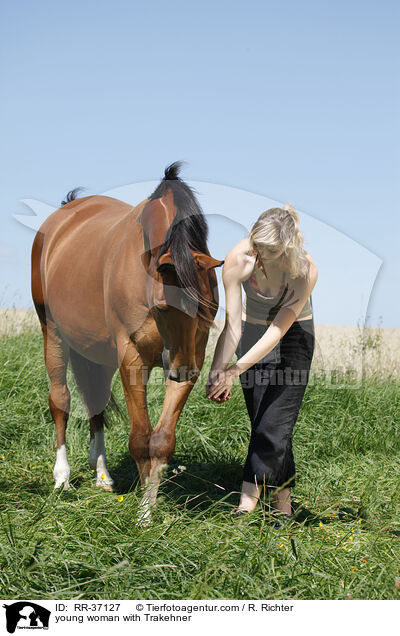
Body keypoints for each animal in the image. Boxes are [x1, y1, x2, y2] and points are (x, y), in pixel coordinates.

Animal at [31, 164, 223, 516]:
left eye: (204, 307)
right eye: (162, 306)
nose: (182, 371)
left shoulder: (193, 355)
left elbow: (161, 440)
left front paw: (148, 508)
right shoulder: (132, 358)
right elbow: (140, 438)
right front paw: (144, 512)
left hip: (99, 353)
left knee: (96, 403)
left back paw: (103, 475)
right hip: (52, 332)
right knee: (61, 401)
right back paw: (62, 478)